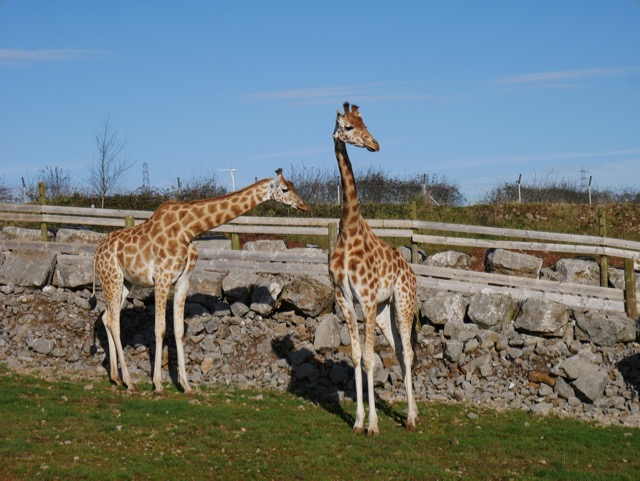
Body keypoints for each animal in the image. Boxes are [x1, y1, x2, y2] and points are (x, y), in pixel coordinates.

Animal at [92, 169, 308, 394]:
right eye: (285, 189)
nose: (304, 206)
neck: (188, 230)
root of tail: (97, 253)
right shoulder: (162, 278)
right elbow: (159, 330)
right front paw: (158, 384)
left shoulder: (182, 281)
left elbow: (179, 331)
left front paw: (186, 385)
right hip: (112, 278)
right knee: (114, 322)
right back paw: (129, 381)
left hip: (125, 283)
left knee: (107, 317)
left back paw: (116, 377)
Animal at [330, 102, 420, 436]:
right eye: (349, 127)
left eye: (364, 123)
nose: (375, 144)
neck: (349, 229)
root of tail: (410, 270)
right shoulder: (345, 298)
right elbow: (358, 357)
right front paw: (358, 421)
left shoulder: (366, 299)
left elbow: (370, 360)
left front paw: (372, 424)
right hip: (384, 311)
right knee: (399, 352)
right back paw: (413, 413)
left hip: (403, 304)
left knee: (408, 353)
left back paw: (411, 419)